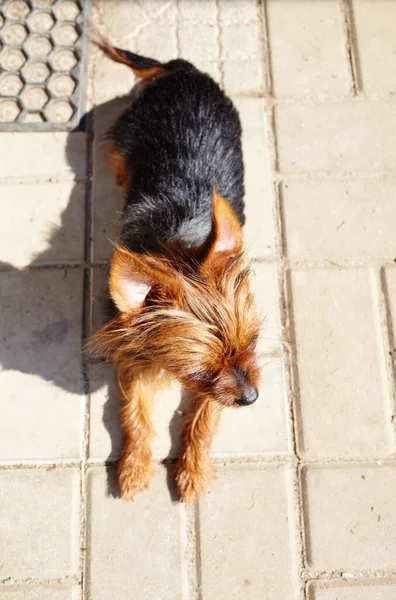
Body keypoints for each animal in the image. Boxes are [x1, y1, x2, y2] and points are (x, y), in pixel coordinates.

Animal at [88, 39, 262, 504]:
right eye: (198, 371)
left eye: (253, 342)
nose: (252, 398)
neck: (177, 239)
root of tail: (182, 71)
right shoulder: (137, 360)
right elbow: (135, 413)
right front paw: (133, 467)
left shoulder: (223, 386)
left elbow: (204, 418)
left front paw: (193, 469)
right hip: (127, 134)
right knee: (118, 155)